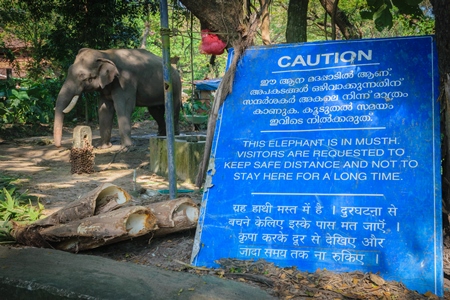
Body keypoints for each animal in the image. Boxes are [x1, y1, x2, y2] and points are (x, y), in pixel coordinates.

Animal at [55, 47, 183, 149]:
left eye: (83, 77)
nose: (59, 146)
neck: (104, 53)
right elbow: (104, 109)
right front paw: (103, 147)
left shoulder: (125, 81)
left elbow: (124, 108)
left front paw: (127, 148)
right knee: (155, 111)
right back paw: (161, 135)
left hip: (175, 86)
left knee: (172, 108)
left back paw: (175, 135)